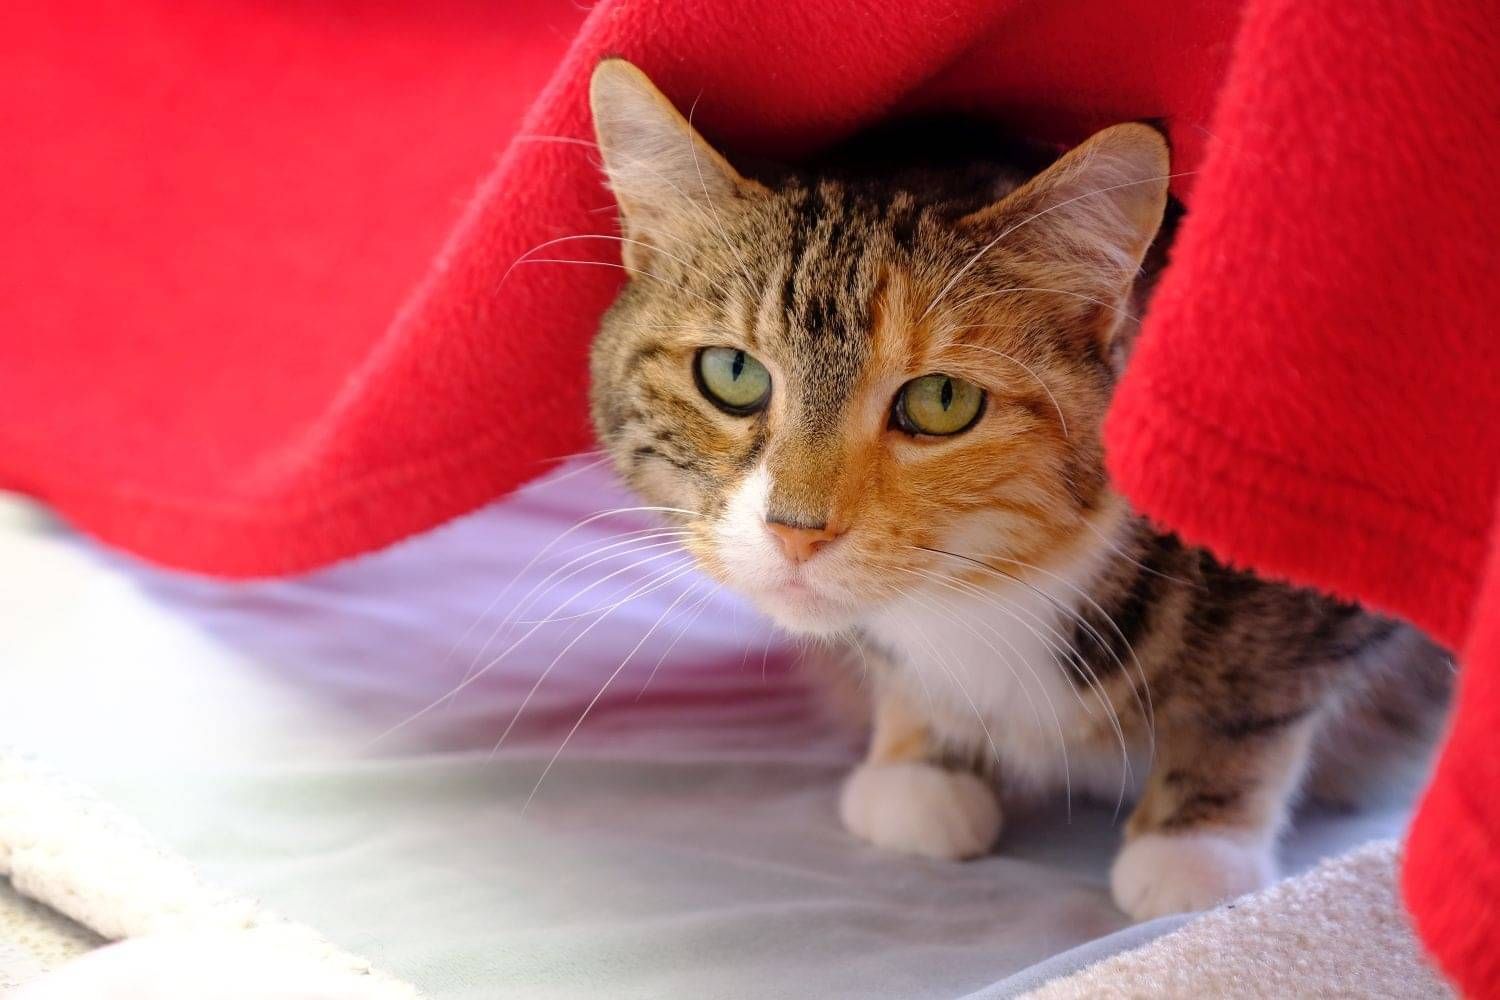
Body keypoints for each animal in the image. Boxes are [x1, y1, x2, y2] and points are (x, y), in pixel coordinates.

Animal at [584, 59, 1451, 920]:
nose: (797, 531)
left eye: (941, 401)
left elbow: (1253, 699)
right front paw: (919, 762)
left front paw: (1196, 849)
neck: (994, 589)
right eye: (732, 374)